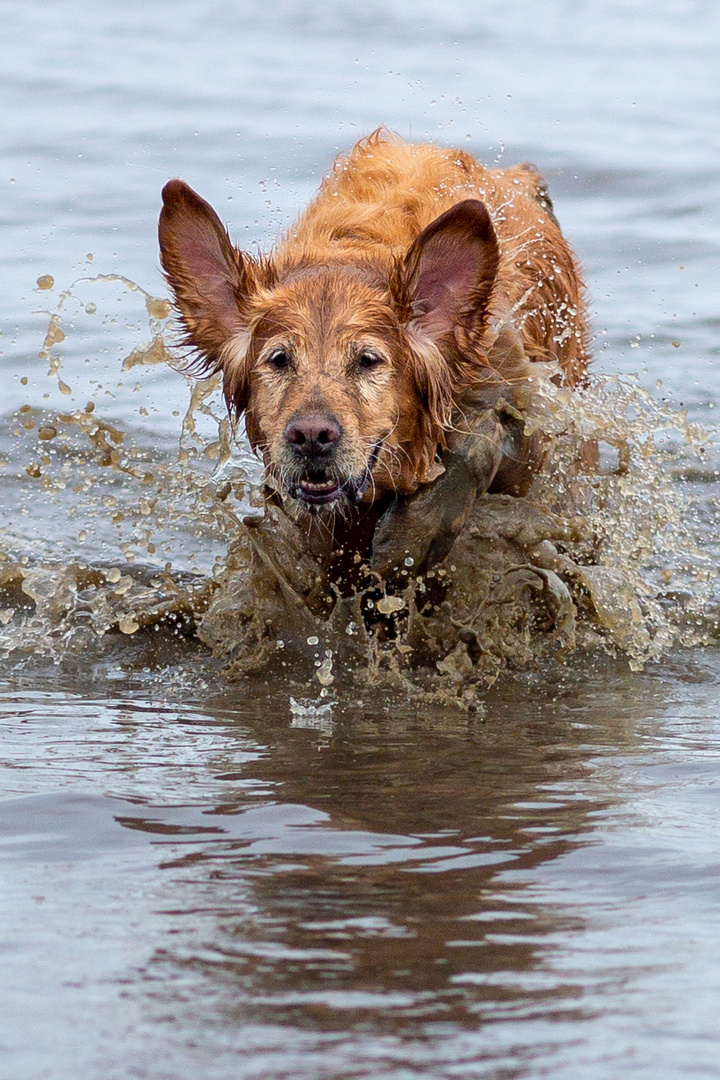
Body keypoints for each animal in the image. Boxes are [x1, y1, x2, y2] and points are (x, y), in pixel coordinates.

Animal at [160, 131, 587, 587]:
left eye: (367, 360)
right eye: (279, 360)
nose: (311, 436)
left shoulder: (518, 406)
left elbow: (476, 444)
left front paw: (412, 539)